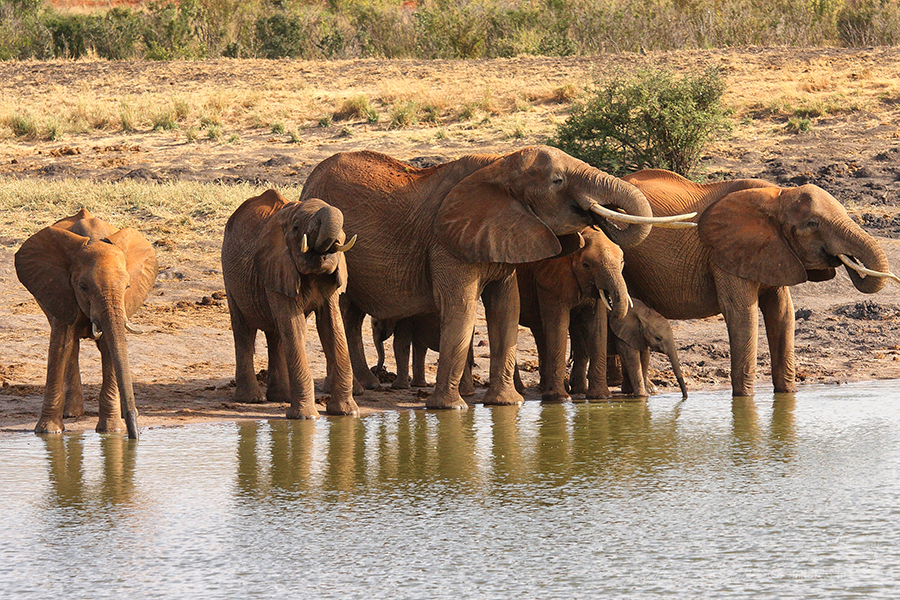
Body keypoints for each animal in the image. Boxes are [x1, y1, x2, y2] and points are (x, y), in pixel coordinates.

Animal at [14, 209, 157, 438]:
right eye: (83, 286)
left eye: (127, 286)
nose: (134, 436)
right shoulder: (61, 292)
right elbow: (60, 347)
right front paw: (47, 432)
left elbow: (109, 346)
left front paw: (112, 431)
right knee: (71, 346)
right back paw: (72, 413)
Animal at [221, 190, 358, 420]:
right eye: (296, 227)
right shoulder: (277, 265)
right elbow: (295, 327)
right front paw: (305, 418)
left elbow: (331, 326)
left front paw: (347, 413)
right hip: (230, 277)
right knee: (244, 330)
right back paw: (252, 399)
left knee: (276, 334)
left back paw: (281, 397)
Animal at [512, 225, 632, 404]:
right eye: (586, 265)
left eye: (622, 262)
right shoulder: (551, 278)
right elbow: (558, 325)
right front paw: (560, 399)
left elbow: (597, 326)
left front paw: (601, 397)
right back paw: (523, 390)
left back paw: (572, 389)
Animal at [624, 166, 896, 396]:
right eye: (813, 224)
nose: (846, 258)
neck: (778, 196)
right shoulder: (725, 253)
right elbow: (743, 314)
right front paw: (744, 400)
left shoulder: (774, 252)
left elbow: (783, 312)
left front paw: (787, 394)